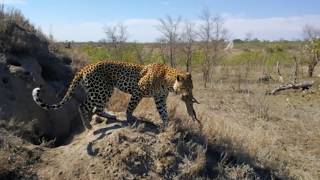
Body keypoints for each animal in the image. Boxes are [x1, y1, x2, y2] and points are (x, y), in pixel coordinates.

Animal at [32, 60, 194, 129]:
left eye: (191, 87)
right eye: (185, 87)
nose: (189, 96)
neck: (168, 82)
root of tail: (85, 67)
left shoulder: (159, 99)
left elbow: (164, 113)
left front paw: (166, 125)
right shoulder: (138, 91)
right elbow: (131, 107)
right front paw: (130, 118)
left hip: (105, 90)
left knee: (96, 108)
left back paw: (109, 116)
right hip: (101, 90)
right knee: (83, 106)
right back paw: (88, 126)